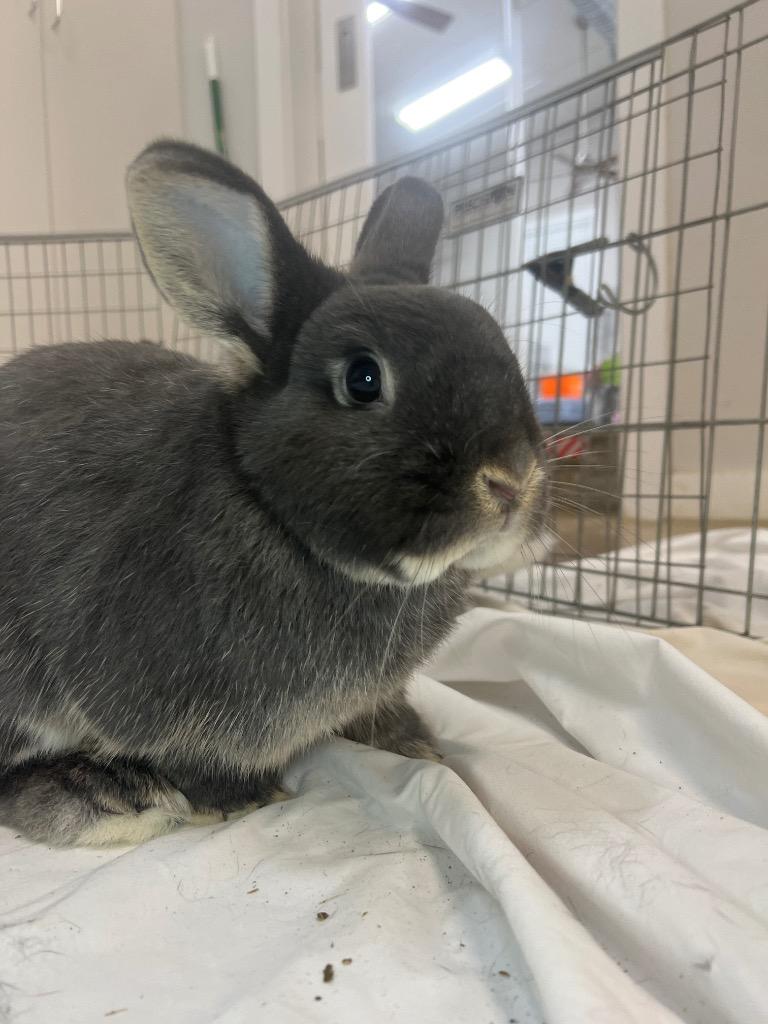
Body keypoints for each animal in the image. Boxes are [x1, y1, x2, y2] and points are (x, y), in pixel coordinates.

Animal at [0, 141, 547, 847]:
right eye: (363, 379)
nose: (512, 479)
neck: (266, 506)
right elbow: (195, 760)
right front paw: (239, 799)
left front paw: (412, 742)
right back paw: (107, 797)